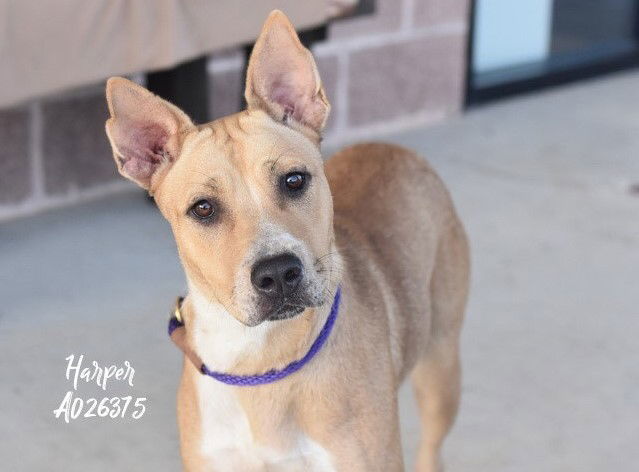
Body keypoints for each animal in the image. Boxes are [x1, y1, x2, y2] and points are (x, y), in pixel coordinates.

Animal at [102, 9, 468, 470]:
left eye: (294, 180)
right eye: (203, 208)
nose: (277, 273)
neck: (259, 361)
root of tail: (392, 147)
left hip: (441, 369)